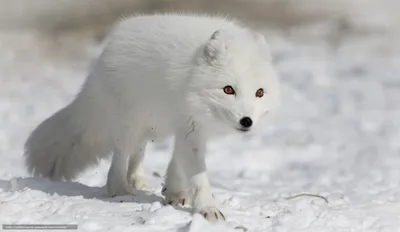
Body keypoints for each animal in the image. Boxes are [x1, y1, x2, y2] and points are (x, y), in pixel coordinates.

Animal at [24, 13, 282, 221]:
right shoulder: (190, 128)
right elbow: (198, 176)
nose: (246, 121)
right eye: (228, 89)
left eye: (259, 93)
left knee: (138, 152)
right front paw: (207, 208)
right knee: (120, 155)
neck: (190, 81)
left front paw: (175, 193)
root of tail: (111, 44)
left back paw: (137, 180)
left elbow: (177, 163)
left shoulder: (188, 127)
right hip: (129, 123)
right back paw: (119, 188)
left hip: (152, 125)